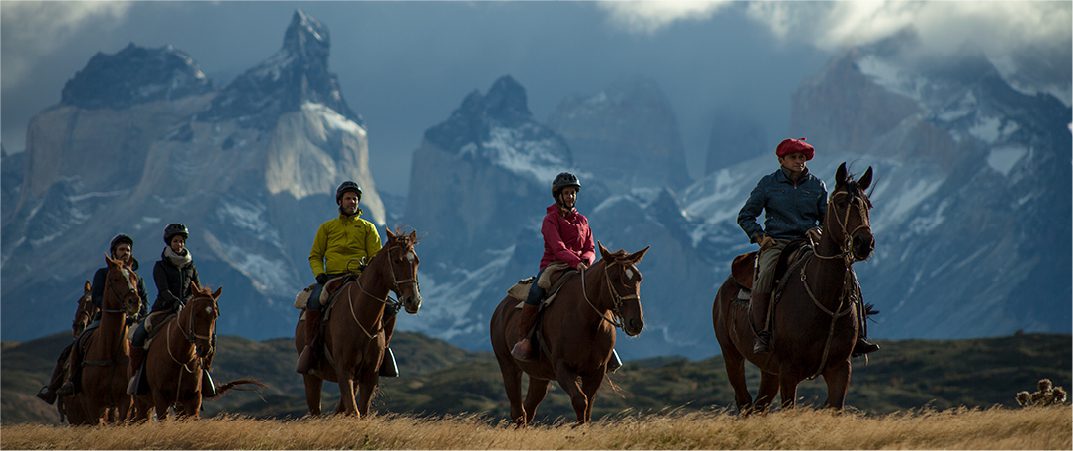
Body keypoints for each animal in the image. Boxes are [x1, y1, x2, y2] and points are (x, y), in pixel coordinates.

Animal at [298, 228, 427, 418]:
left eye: (417, 261)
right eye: (397, 260)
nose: (414, 301)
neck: (363, 318)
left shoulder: (369, 375)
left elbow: (362, 411)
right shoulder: (344, 370)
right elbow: (354, 412)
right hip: (311, 376)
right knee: (315, 409)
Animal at [491, 241, 648, 425]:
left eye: (639, 278)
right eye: (615, 278)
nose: (635, 323)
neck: (586, 321)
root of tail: (500, 309)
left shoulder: (596, 372)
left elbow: (588, 407)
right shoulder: (563, 368)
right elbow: (581, 401)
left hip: (539, 376)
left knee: (528, 409)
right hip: (509, 366)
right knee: (518, 411)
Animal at [712, 162, 871, 412]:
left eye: (868, 204)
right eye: (841, 203)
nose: (864, 243)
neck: (824, 298)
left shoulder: (840, 368)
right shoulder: (789, 371)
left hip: (769, 370)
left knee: (760, 405)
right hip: (731, 355)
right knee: (745, 401)